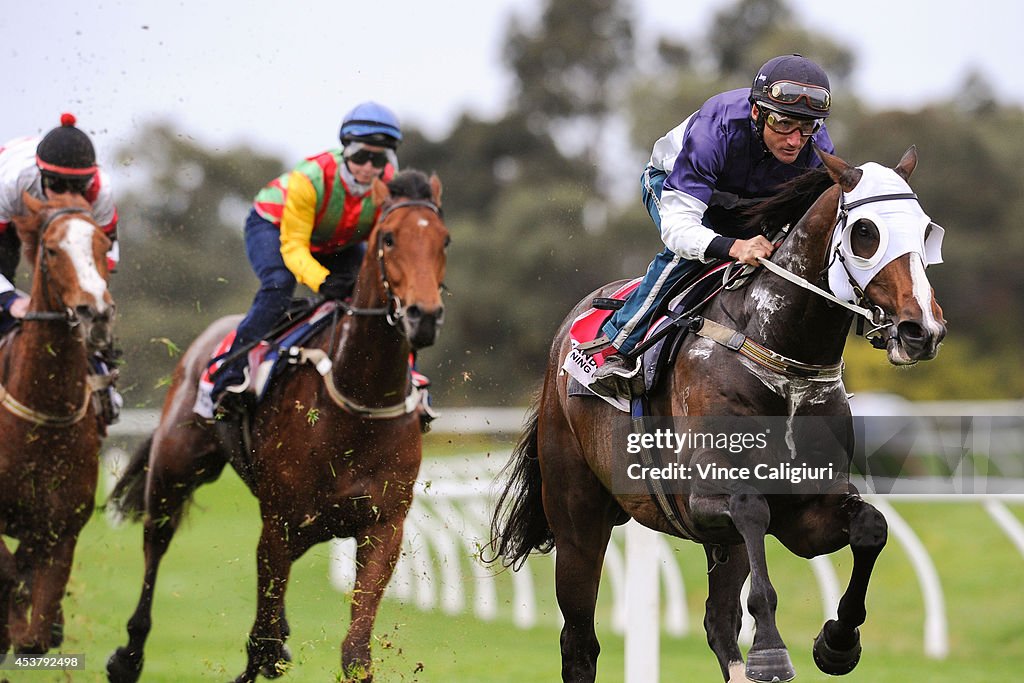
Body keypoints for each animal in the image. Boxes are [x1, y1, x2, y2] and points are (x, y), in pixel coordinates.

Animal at [105, 171, 450, 683]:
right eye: (389, 237)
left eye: (444, 240)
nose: (422, 316)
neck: (357, 402)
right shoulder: (280, 523)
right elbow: (260, 642)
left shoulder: (383, 526)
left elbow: (354, 651)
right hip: (174, 471)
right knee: (156, 542)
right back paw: (128, 655)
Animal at [491, 149, 946, 683]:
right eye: (866, 233)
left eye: (926, 231)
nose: (922, 330)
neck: (779, 352)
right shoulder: (704, 496)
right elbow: (751, 512)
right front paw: (770, 649)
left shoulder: (807, 510)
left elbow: (872, 527)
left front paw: (837, 642)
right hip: (576, 514)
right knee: (579, 640)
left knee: (718, 621)